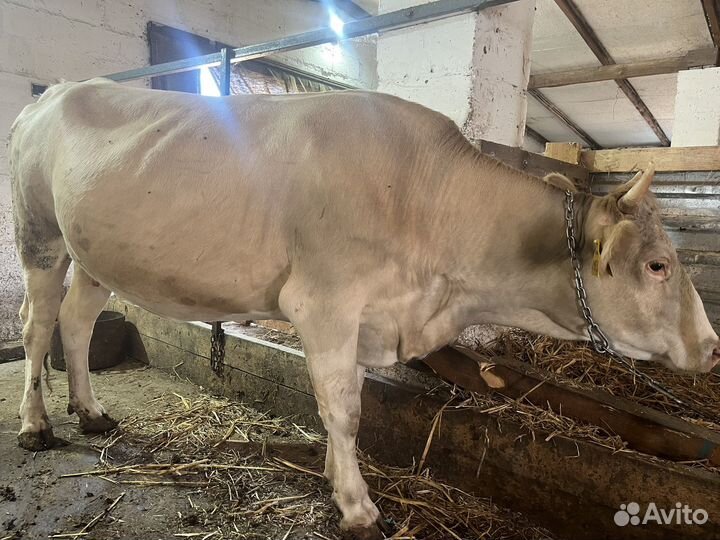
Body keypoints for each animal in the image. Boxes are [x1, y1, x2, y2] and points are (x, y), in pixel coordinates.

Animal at [9, 78, 720, 539]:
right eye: (658, 264)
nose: (713, 347)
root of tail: (48, 95)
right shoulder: (323, 301)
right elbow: (346, 410)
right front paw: (358, 507)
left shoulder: (361, 317)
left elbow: (347, 402)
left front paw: (334, 477)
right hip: (39, 236)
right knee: (37, 327)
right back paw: (36, 424)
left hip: (95, 254)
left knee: (76, 323)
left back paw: (91, 411)